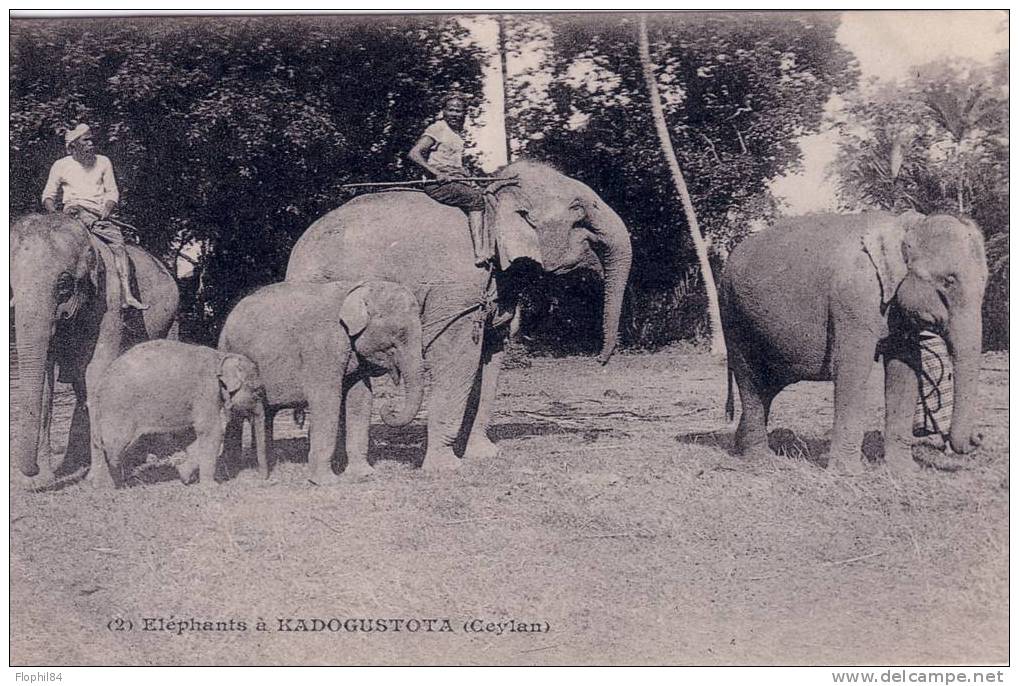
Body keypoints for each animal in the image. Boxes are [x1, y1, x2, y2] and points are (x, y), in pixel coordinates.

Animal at [8, 210, 180, 485]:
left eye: (64, 284)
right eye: (12, 282)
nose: (30, 470)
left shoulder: (110, 299)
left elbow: (97, 370)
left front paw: (101, 482)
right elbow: (45, 378)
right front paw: (41, 482)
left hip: (169, 317)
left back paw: (158, 454)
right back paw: (77, 462)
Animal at [90, 336, 266, 487]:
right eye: (257, 391)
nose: (262, 479)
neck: (221, 357)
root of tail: (100, 385)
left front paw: (184, 476)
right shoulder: (206, 391)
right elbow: (212, 430)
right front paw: (212, 486)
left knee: (101, 445)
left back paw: (104, 486)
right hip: (118, 409)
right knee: (114, 449)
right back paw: (121, 484)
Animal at [219, 277, 425, 481]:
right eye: (400, 333)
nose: (390, 407)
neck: (355, 289)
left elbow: (360, 399)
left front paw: (364, 474)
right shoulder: (322, 346)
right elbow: (327, 400)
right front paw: (325, 481)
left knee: (266, 414)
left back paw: (268, 466)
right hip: (229, 353)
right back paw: (233, 471)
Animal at [287, 161, 631, 470]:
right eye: (578, 209)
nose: (600, 360)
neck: (492, 199)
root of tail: (297, 251)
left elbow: (490, 359)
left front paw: (483, 454)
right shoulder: (457, 288)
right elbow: (458, 357)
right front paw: (445, 466)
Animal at [717, 209, 986, 470]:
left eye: (984, 284)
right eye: (949, 281)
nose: (978, 437)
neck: (901, 226)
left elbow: (905, 371)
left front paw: (904, 471)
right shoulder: (853, 299)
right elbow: (852, 370)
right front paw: (848, 472)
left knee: (768, 385)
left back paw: (740, 449)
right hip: (733, 315)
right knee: (750, 379)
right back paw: (760, 459)